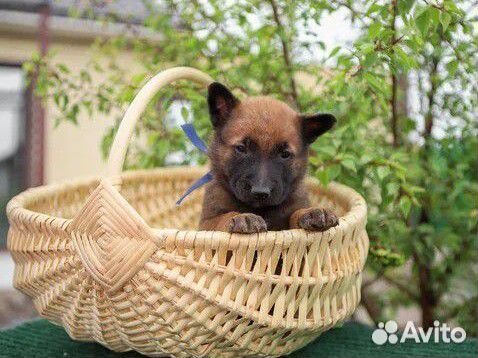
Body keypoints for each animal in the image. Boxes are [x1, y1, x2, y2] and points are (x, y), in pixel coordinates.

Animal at [198, 83, 340, 235]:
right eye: (241, 148)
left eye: (285, 154)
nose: (260, 193)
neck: (261, 209)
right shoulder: (206, 223)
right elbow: (223, 217)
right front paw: (242, 217)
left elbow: (295, 213)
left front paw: (310, 212)